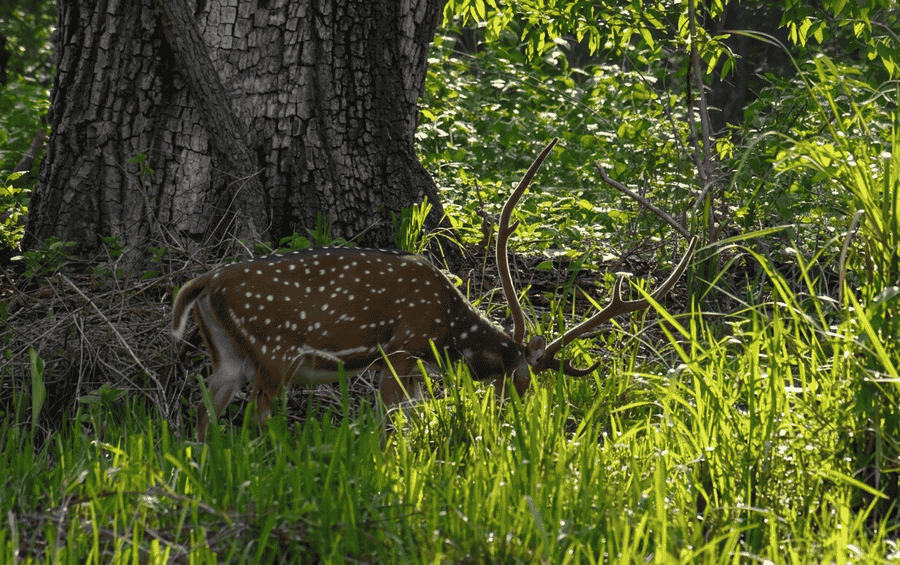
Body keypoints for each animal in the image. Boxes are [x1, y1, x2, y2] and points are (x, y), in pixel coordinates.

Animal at [172, 139, 698, 440]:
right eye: (521, 379)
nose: (518, 415)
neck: (444, 334)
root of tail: (205, 282)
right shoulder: (401, 347)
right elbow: (385, 420)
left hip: (229, 354)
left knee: (205, 409)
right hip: (275, 352)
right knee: (258, 415)